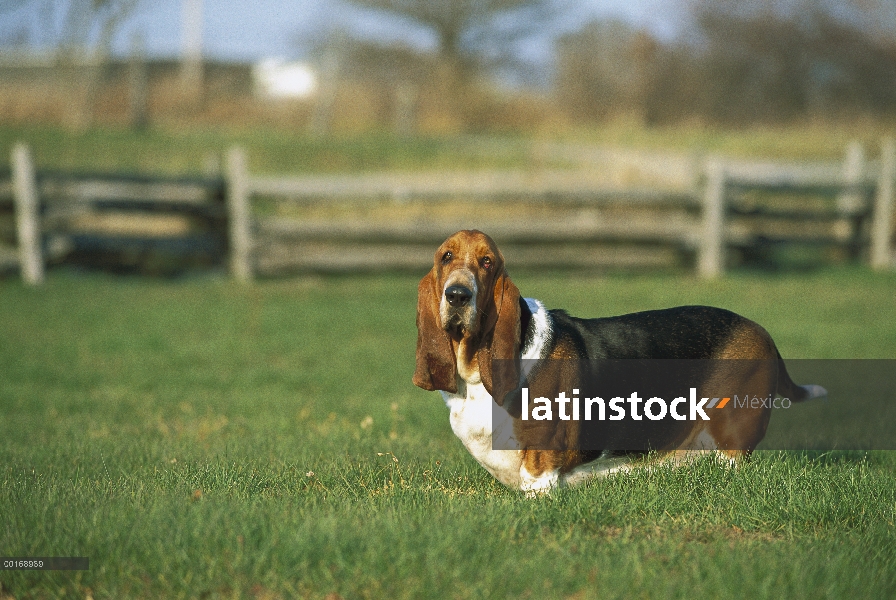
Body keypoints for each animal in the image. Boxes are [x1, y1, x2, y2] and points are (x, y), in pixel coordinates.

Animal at [412, 227, 824, 494]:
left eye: (486, 262)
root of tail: (762, 332)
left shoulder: (541, 467)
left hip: (730, 432)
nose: (458, 295)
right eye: (446, 257)